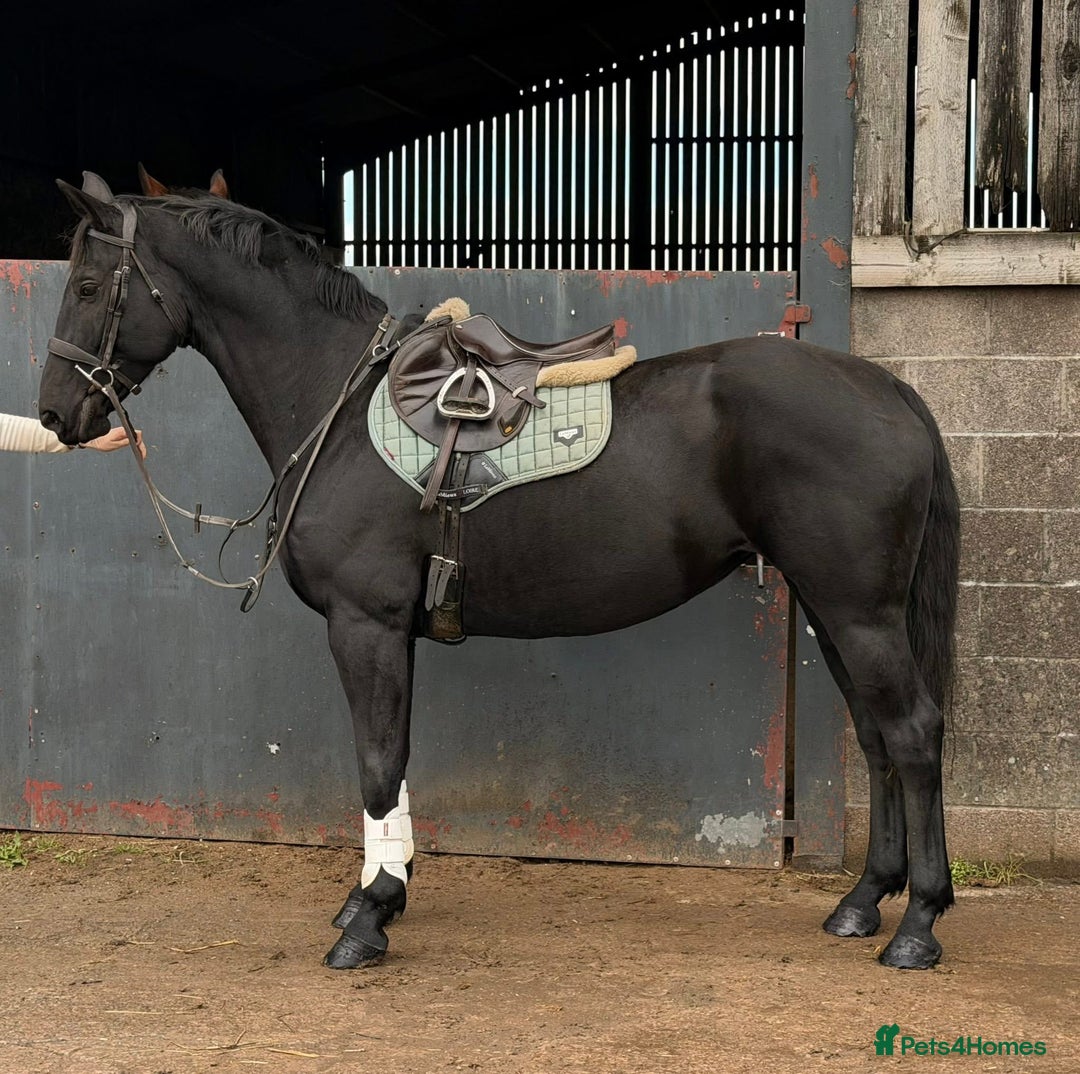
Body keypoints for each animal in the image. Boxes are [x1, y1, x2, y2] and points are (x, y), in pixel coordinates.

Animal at [38, 171, 961, 972]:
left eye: (84, 285)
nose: (54, 413)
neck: (338, 405)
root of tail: (890, 391)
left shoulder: (365, 625)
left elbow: (378, 760)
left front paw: (370, 919)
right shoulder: (392, 633)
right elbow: (396, 759)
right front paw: (379, 893)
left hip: (859, 610)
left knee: (914, 733)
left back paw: (917, 925)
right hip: (832, 607)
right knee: (876, 737)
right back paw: (862, 903)